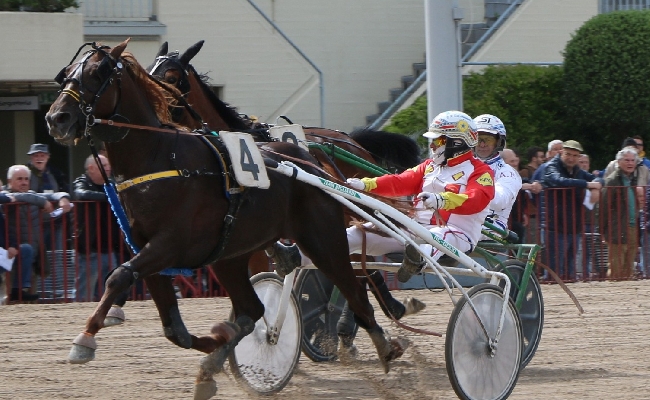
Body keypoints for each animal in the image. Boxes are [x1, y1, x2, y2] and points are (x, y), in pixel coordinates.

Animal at [45, 39, 404, 398]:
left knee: (357, 283)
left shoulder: (169, 246)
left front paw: (84, 340)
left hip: (324, 238)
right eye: (66, 73)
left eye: (98, 71)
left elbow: (118, 276)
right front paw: (220, 344)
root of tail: (314, 160)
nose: (56, 118)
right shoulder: (152, 252)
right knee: (255, 307)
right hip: (230, 256)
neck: (161, 158)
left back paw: (379, 338)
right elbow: (172, 326)